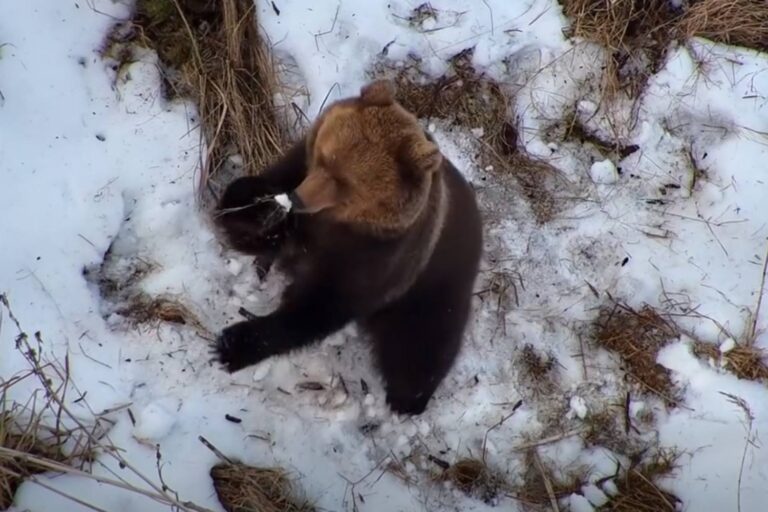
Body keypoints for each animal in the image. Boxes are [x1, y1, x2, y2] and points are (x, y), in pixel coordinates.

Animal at [212, 79, 483, 415]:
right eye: (324, 157)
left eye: (345, 183)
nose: (299, 198)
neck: (340, 222)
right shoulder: (298, 166)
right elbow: (247, 213)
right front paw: (261, 208)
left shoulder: (378, 255)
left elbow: (320, 305)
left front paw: (232, 344)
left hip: (434, 287)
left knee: (420, 349)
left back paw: (407, 400)